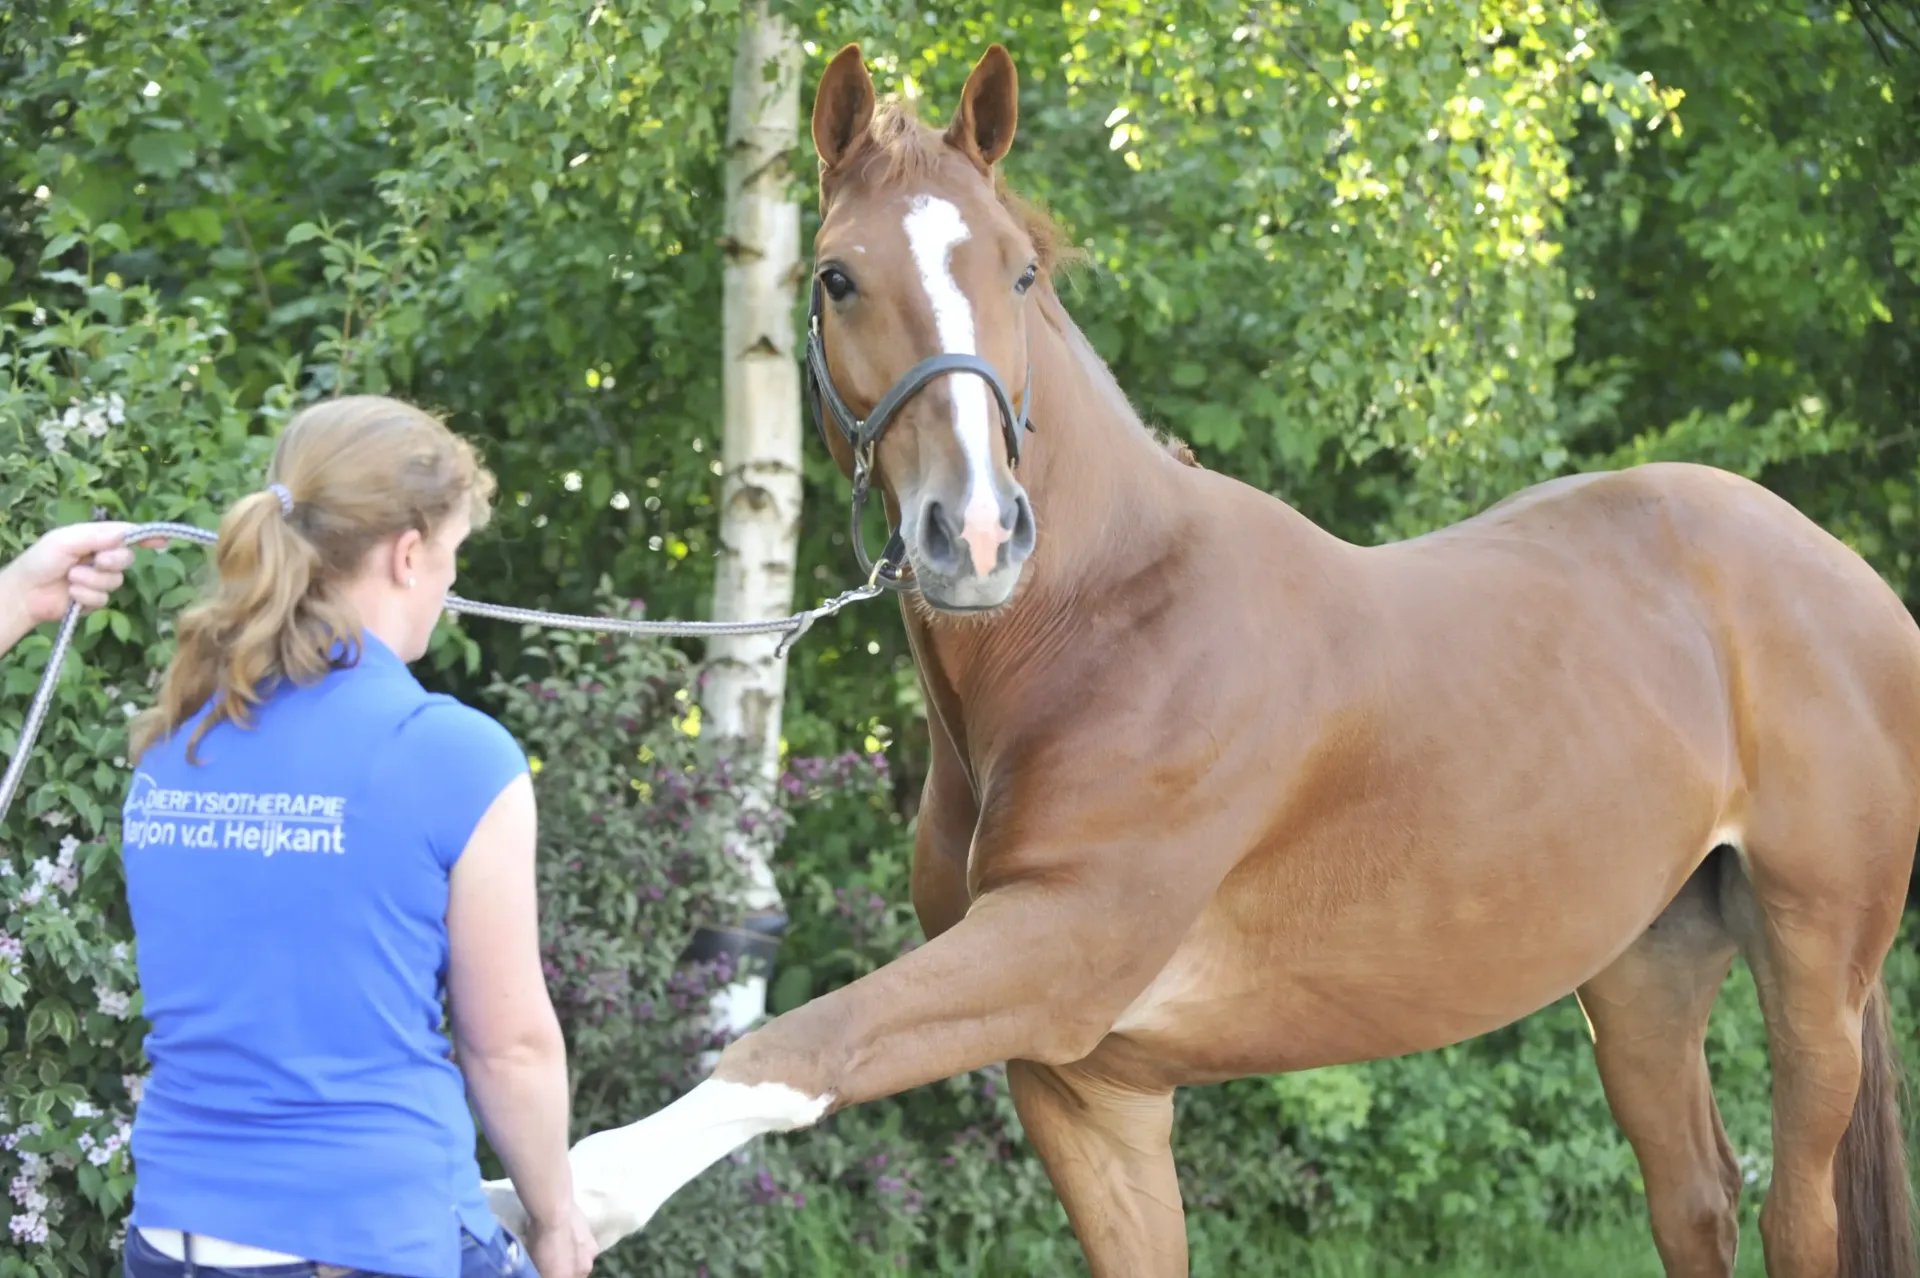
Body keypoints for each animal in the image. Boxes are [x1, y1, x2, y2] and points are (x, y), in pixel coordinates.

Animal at [487, 43, 1920, 1278]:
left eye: (1020, 271)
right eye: (838, 276)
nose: (977, 533)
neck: (1104, 631)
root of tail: (1840, 576)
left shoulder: (1060, 949)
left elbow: (794, 1044)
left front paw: (559, 1196)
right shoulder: (1085, 1085)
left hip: (1815, 964)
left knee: (1796, 1220)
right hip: (1643, 969)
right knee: (1693, 1200)